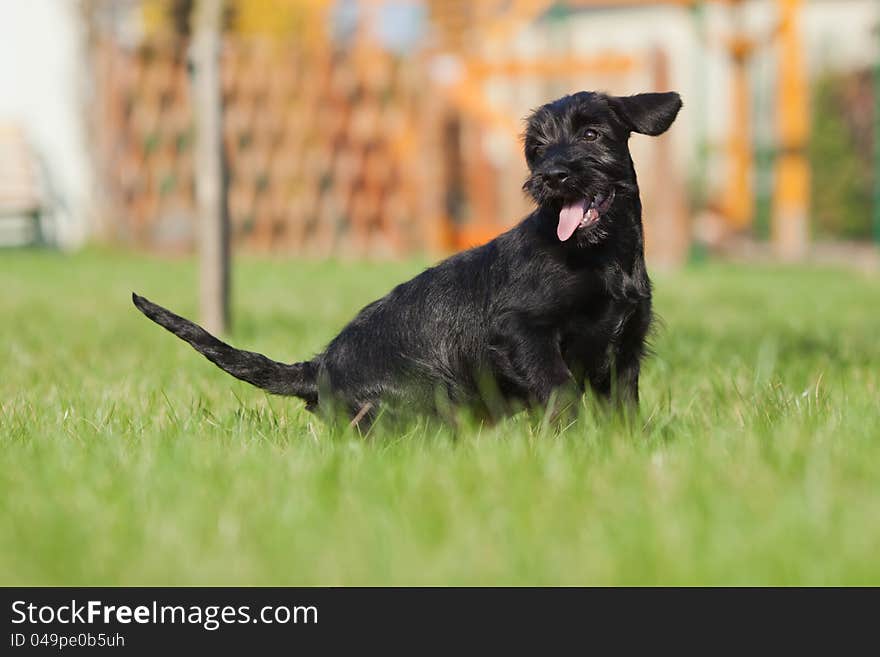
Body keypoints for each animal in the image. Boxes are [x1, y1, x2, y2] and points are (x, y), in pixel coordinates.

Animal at [134, 89, 684, 428]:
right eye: (537, 147)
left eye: (591, 134)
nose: (551, 175)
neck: (601, 256)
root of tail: (318, 368)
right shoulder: (524, 333)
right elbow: (561, 391)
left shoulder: (624, 353)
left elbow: (622, 410)